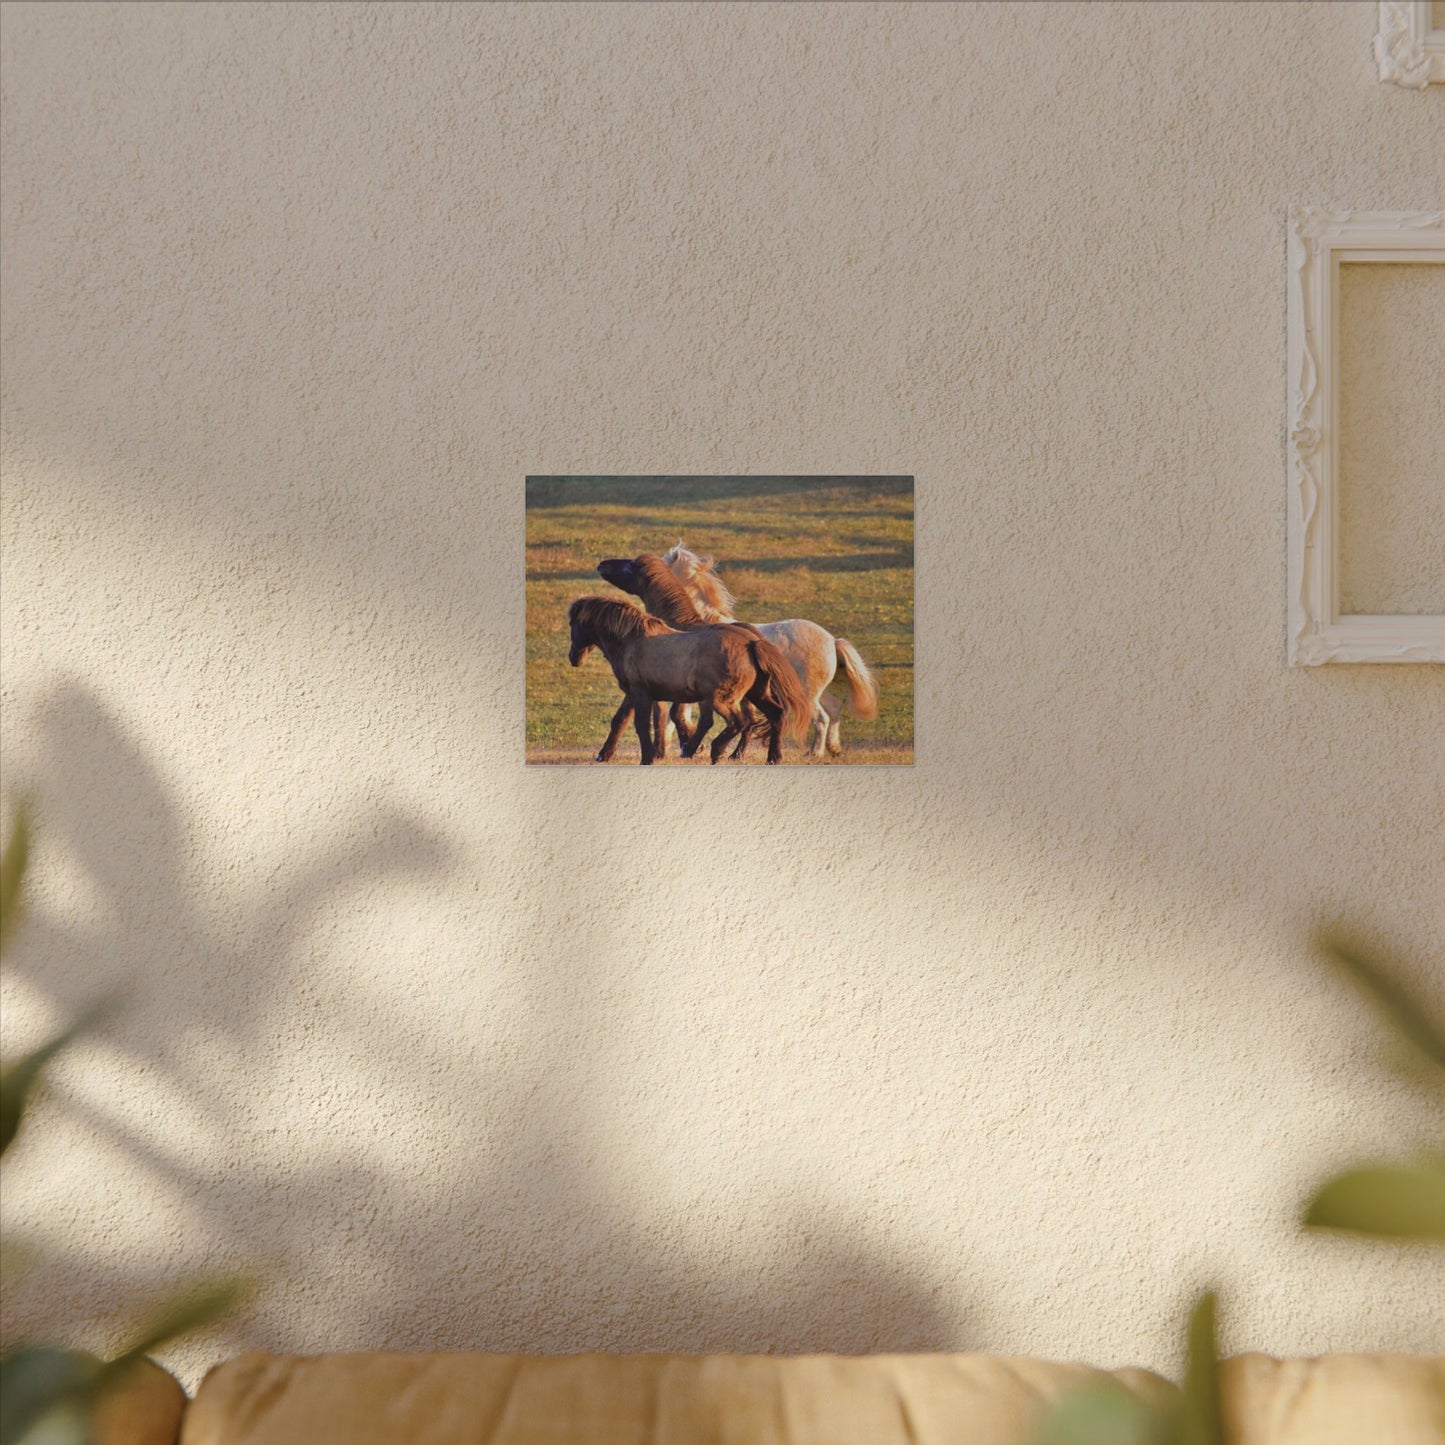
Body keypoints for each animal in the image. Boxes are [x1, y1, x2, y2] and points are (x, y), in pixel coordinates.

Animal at [566, 597, 809, 764]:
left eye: (573, 624)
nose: (573, 658)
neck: (632, 640)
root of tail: (751, 643)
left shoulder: (641, 693)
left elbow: (641, 725)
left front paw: (647, 758)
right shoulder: (633, 694)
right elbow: (620, 721)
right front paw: (604, 755)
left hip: (720, 699)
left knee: (738, 722)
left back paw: (715, 750)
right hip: (756, 694)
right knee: (776, 715)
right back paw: (772, 757)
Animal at [661, 543, 878, 757]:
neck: (697, 623)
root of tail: (832, 641)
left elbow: (676, 715)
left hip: (807, 694)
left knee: (821, 718)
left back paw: (814, 753)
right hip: (819, 691)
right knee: (834, 709)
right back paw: (834, 748)